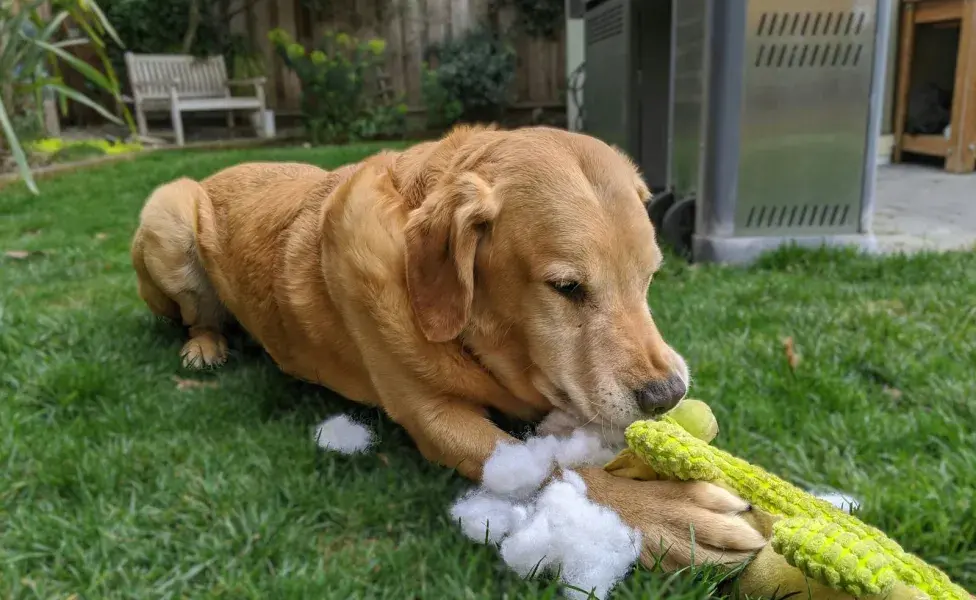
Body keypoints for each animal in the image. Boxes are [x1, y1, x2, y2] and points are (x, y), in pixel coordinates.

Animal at [132, 126, 772, 572]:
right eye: (566, 288)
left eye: (650, 278)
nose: (668, 395)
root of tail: (215, 172)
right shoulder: (434, 418)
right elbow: (547, 464)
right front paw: (670, 517)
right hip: (168, 216)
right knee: (194, 317)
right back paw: (205, 346)